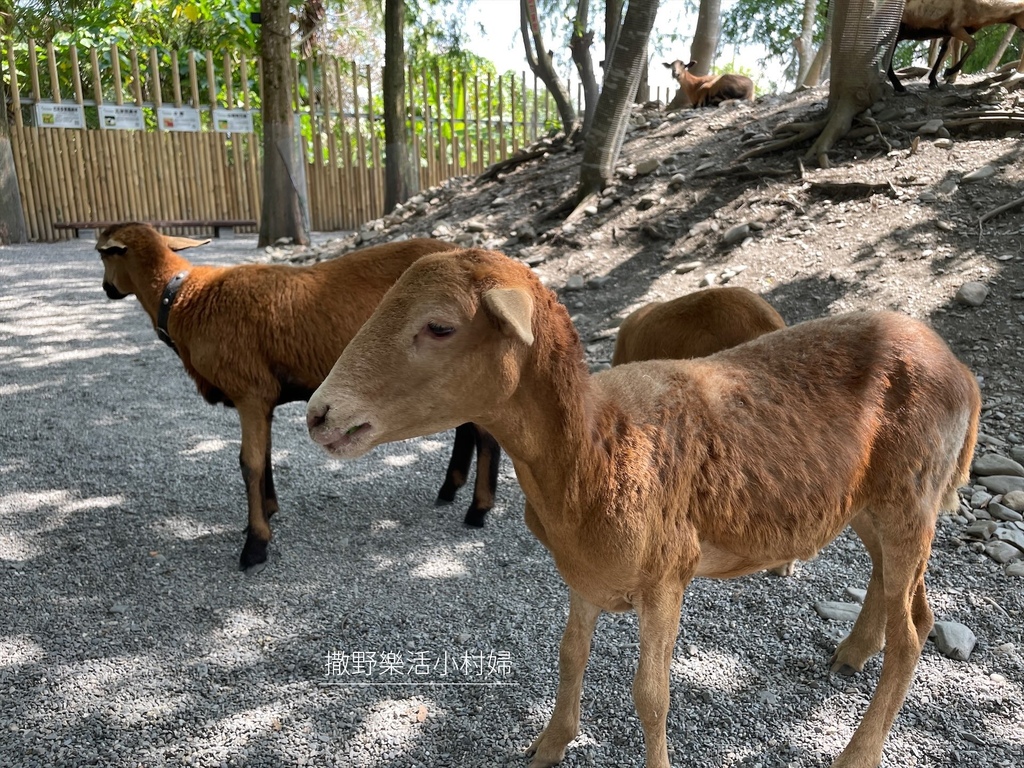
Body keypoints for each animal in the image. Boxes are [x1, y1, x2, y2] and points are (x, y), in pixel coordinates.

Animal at [97, 224, 497, 573]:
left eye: (105, 254)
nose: (106, 289)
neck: (185, 300)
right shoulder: (262, 398)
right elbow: (265, 455)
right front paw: (267, 511)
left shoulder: (250, 389)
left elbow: (249, 463)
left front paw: (255, 546)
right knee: (466, 426)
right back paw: (450, 489)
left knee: (485, 432)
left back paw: (478, 509)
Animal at [888, 0, 1024, 91]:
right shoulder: (955, 26)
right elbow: (973, 44)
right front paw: (948, 72)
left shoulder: (947, 30)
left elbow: (944, 50)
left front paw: (933, 81)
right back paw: (898, 86)